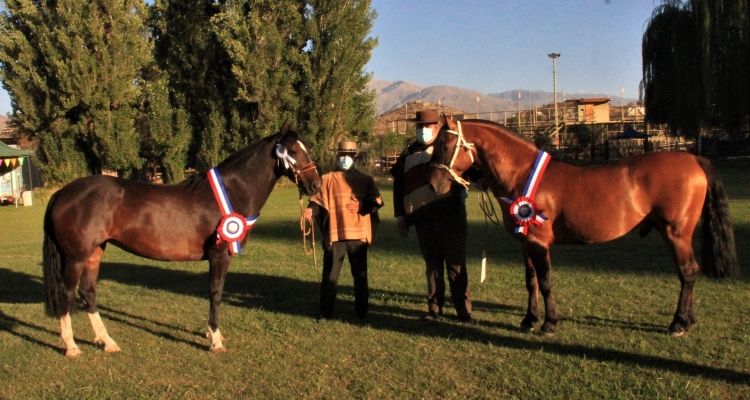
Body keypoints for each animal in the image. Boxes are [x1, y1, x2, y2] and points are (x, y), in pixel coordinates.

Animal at [43, 125, 320, 356]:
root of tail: (62, 192)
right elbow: (215, 292)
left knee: (87, 293)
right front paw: (215, 340)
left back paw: (107, 342)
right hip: (76, 257)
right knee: (66, 293)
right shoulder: (219, 255)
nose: (315, 185)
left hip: (94, 253)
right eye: (292, 151)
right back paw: (71, 346)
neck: (231, 192)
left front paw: (212, 334)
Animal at [428, 116, 740, 338]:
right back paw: (687, 320)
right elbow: (531, 282)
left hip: (676, 233)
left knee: (688, 272)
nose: (434, 185)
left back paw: (678, 323)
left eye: (446, 146)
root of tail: (693, 159)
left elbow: (546, 281)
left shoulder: (539, 242)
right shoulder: (525, 243)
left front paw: (549, 324)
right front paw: (529, 320)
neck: (523, 174)